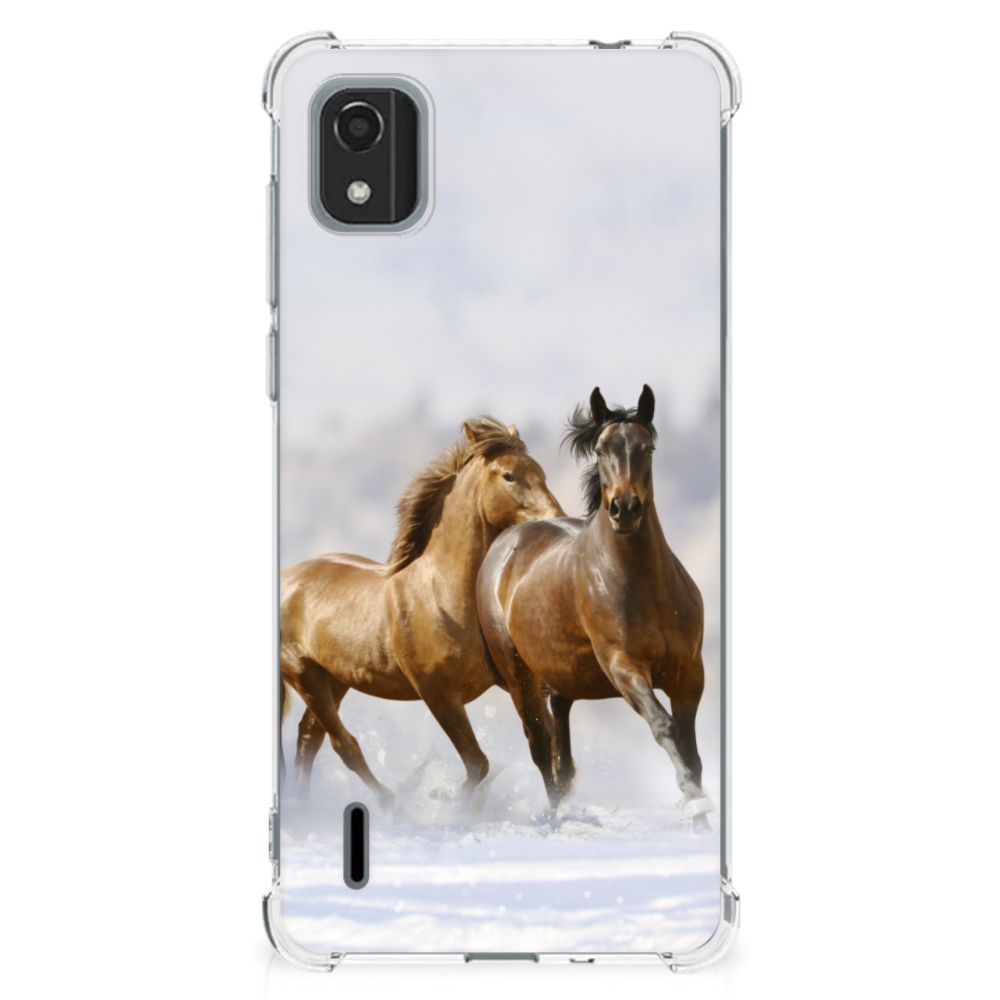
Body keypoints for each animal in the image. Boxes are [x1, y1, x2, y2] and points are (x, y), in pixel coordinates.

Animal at [280, 417, 564, 806]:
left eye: (541, 472)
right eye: (508, 475)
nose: (557, 519)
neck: (442, 595)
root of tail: (285, 579)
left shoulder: (516, 681)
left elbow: (543, 744)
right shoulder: (437, 693)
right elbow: (478, 764)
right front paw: (450, 804)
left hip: (335, 679)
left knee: (310, 737)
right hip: (304, 674)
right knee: (344, 745)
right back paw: (392, 803)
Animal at [476, 386, 713, 823]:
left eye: (647, 447)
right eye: (602, 449)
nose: (625, 509)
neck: (644, 587)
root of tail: (505, 543)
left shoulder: (689, 674)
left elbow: (691, 750)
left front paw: (701, 817)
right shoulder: (624, 666)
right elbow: (664, 727)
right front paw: (692, 798)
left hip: (562, 676)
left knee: (561, 747)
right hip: (519, 677)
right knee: (541, 748)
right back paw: (556, 819)